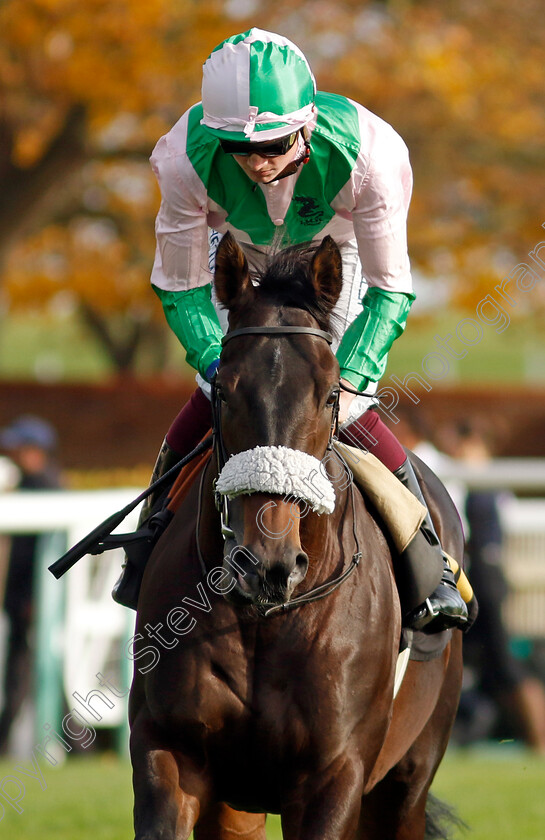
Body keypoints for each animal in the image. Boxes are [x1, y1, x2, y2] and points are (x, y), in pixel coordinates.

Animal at [129, 233, 464, 840]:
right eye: (222, 389)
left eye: (331, 394)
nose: (267, 563)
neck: (265, 619)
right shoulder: (169, 750)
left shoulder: (336, 773)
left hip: (408, 779)